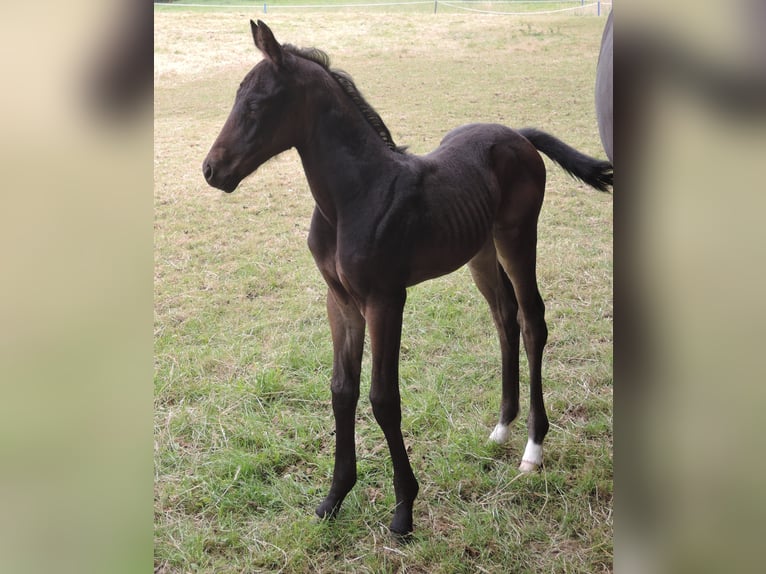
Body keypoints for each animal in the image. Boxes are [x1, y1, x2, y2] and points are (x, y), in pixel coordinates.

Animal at [202, 20, 612, 536]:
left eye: (256, 104)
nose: (211, 170)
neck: (353, 197)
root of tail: (517, 134)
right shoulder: (340, 301)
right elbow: (342, 390)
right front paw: (333, 498)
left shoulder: (385, 299)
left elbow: (383, 398)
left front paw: (403, 509)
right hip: (480, 249)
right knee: (504, 317)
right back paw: (502, 427)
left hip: (517, 236)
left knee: (533, 321)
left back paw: (533, 448)